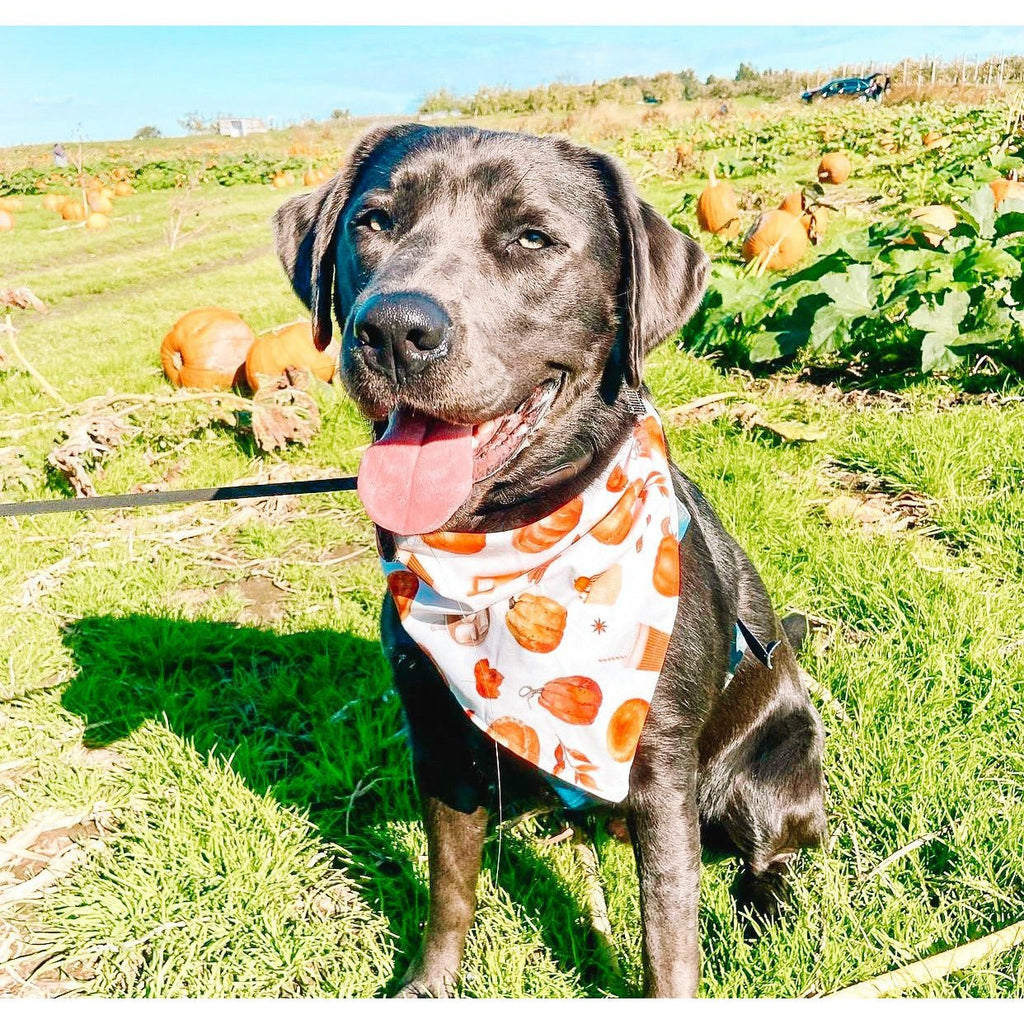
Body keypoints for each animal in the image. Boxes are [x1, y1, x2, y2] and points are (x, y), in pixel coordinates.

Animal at [274, 123, 831, 995]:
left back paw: (763, 913)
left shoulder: (660, 772)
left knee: (768, 855)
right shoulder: (437, 738)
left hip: (777, 773)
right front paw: (430, 985)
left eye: (533, 238)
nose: (393, 329)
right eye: (373, 221)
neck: (508, 545)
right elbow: (451, 889)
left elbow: (669, 940)